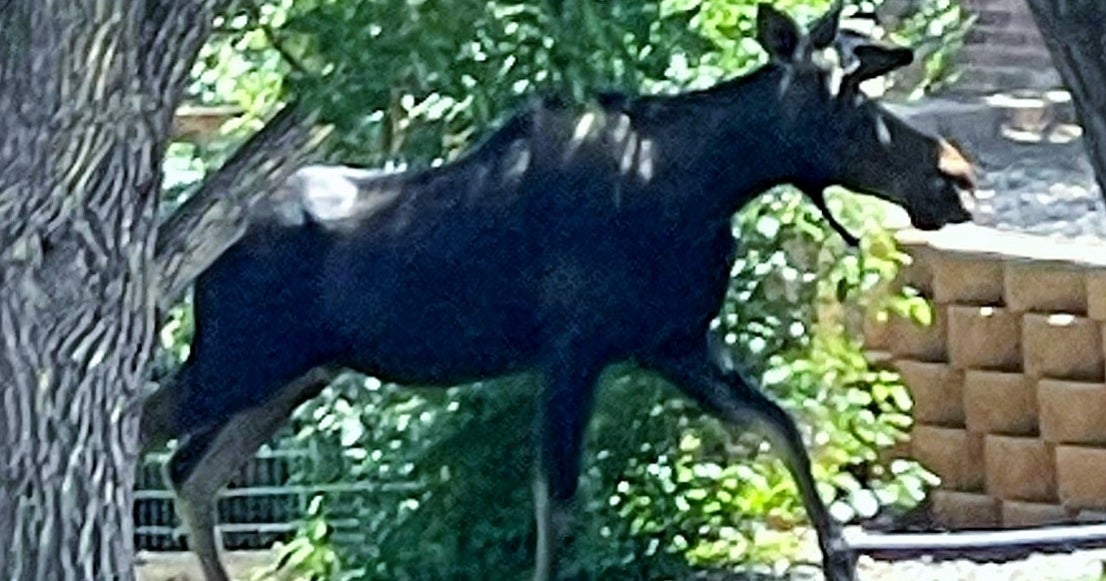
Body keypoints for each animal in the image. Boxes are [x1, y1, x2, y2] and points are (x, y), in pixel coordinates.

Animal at [140, 3, 975, 580]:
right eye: (847, 94)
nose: (956, 176)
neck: (703, 189)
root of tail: (208, 254)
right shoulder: (575, 350)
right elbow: (559, 504)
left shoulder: (674, 344)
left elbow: (782, 428)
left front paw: (839, 557)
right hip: (238, 359)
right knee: (146, 426)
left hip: (294, 373)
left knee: (192, 469)